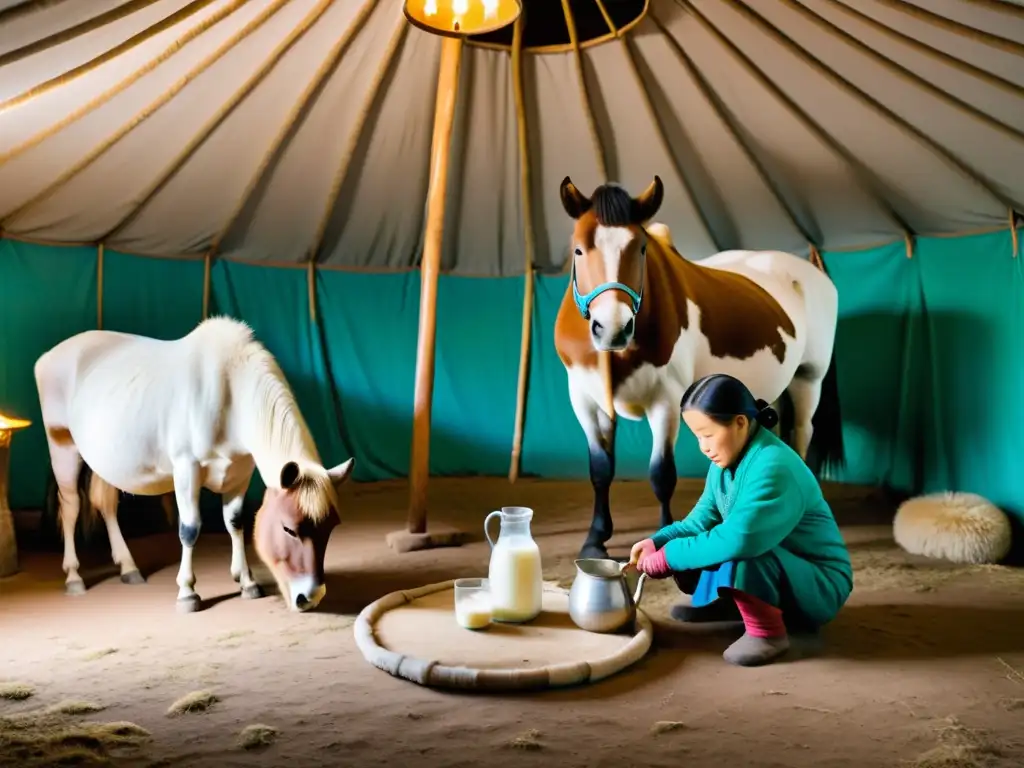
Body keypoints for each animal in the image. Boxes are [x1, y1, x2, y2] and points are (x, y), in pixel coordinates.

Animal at [35, 317, 356, 614]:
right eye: (288, 529)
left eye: (331, 526)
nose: (310, 597)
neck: (229, 391)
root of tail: (47, 357)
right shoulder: (186, 469)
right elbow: (189, 529)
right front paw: (187, 592)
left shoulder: (240, 472)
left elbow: (235, 522)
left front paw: (247, 581)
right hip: (62, 446)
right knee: (71, 507)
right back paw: (74, 576)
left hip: (108, 460)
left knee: (106, 505)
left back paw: (128, 567)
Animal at [557, 176, 843, 561]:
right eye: (578, 250)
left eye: (641, 248)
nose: (614, 328)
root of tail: (811, 270)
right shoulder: (584, 397)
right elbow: (601, 469)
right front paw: (595, 538)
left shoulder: (667, 398)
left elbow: (662, 473)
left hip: (809, 379)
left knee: (801, 432)